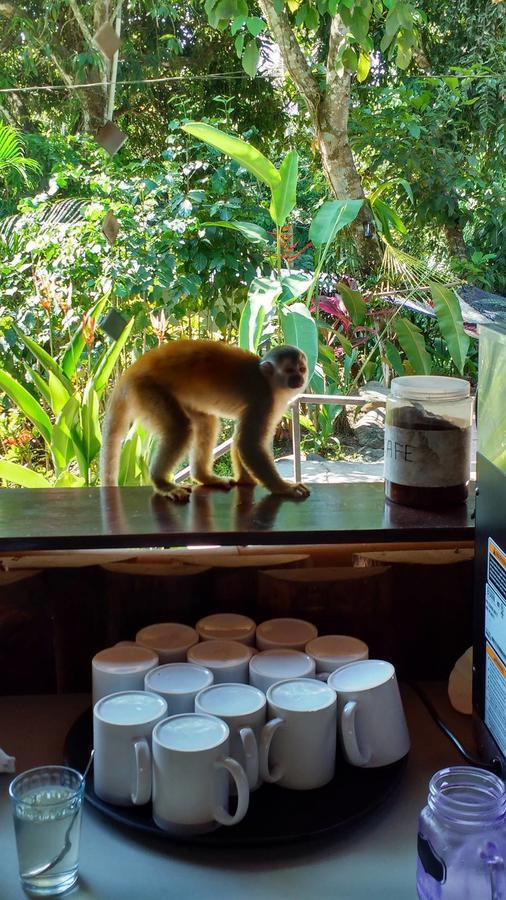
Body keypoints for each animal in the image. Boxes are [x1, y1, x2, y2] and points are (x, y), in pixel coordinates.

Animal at [101, 340, 310, 502]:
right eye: (289, 370)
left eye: (301, 369)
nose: (299, 378)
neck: (269, 383)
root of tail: (131, 371)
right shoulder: (263, 399)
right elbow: (248, 443)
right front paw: (284, 488)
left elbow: (240, 439)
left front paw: (245, 480)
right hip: (148, 390)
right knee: (180, 428)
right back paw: (163, 483)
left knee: (206, 422)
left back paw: (204, 477)